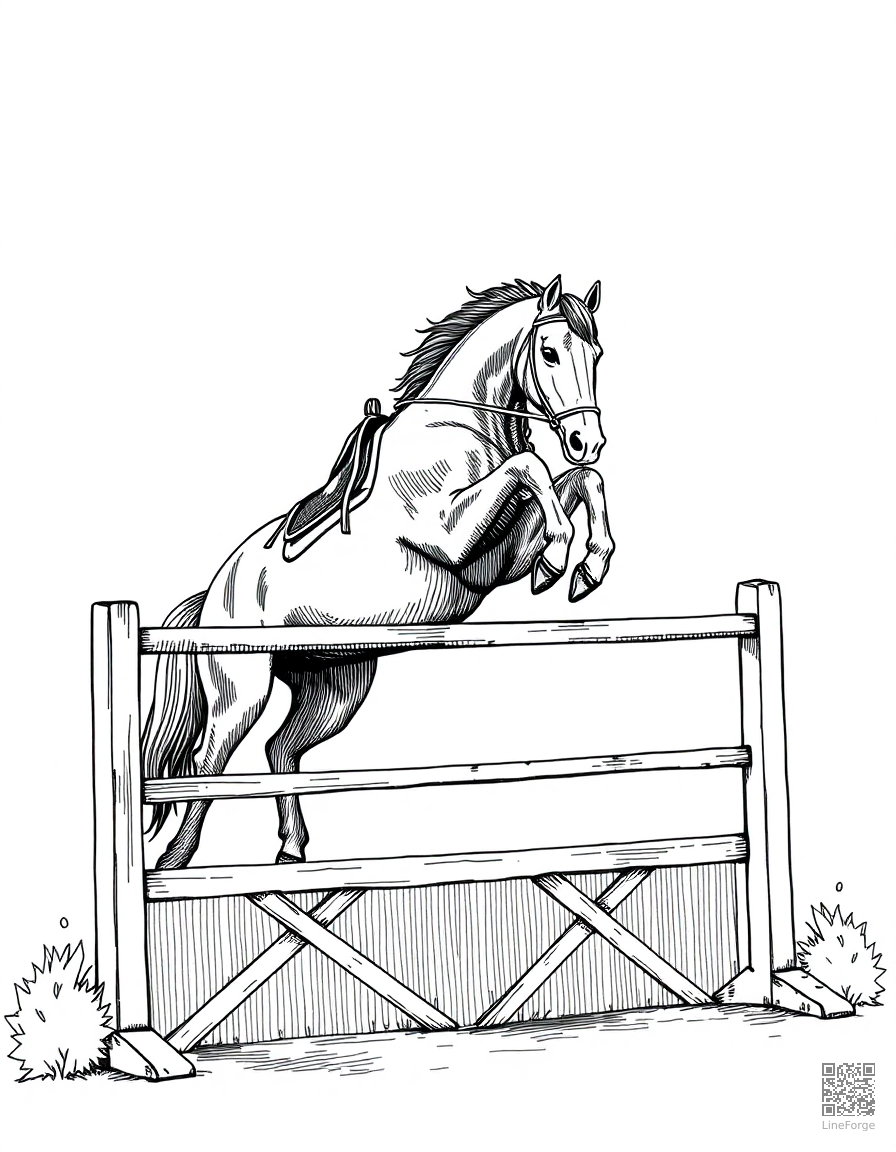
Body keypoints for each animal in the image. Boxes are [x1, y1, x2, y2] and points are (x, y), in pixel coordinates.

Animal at [143, 275, 615, 868]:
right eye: (549, 352)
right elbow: (532, 470)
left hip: (335, 689)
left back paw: (292, 852)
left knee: (280, 748)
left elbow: (578, 481)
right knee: (208, 765)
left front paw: (586, 565)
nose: (587, 441)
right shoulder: (453, 534)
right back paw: (174, 862)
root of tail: (212, 595)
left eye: (596, 355)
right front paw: (560, 560)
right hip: (241, 692)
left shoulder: (502, 556)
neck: (463, 425)